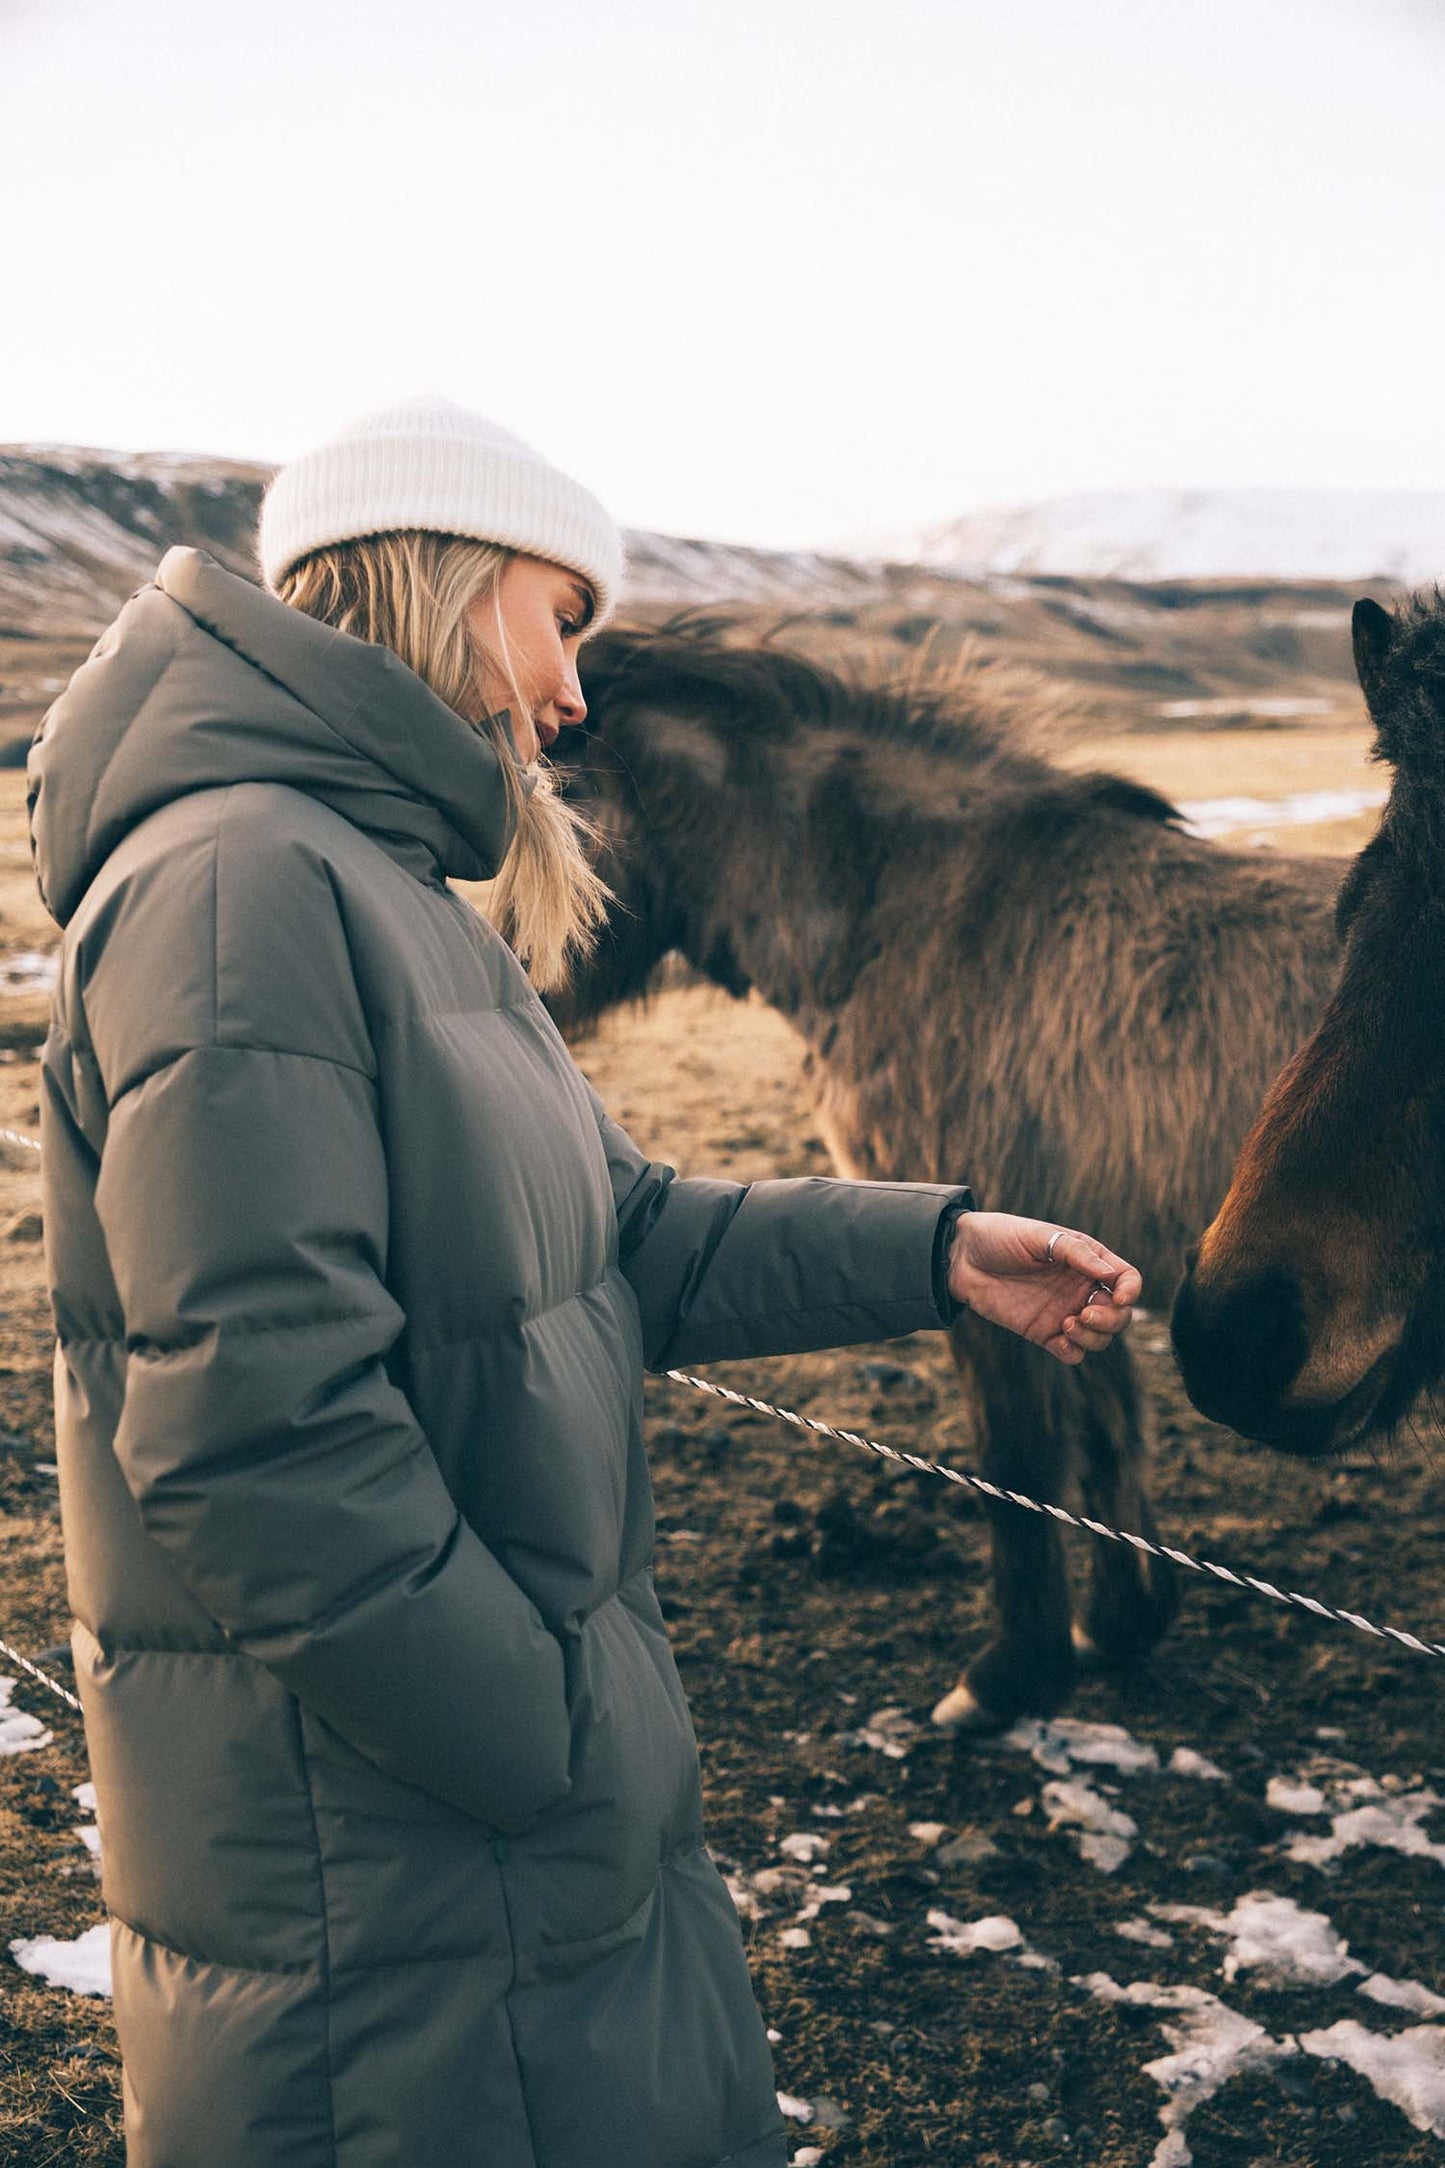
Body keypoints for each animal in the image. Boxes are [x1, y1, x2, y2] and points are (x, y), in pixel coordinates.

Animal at [554, 621, 1345, 1728]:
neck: (909, 912)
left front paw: (1007, 1676)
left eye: (550, 789)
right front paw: (1117, 1624)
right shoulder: (1072, 1249)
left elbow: (1018, 1460)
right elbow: (1105, 1433)